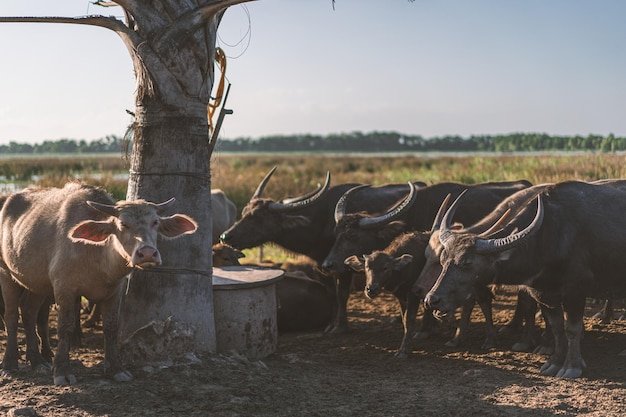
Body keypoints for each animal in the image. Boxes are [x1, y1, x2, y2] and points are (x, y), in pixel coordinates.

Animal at [0, 182, 196, 384]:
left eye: (155, 222)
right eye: (123, 224)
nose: (147, 253)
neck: (97, 258)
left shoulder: (115, 292)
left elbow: (110, 327)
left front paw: (115, 369)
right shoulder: (64, 288)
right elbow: (65, 326)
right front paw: (62, 370)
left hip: (36, 282)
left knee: (29, 312)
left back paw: (37, 361)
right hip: (6, 273)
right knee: (12, 316)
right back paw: (10, 364)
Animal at [218, 166, 424, 332]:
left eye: (259, 217)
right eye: (244, 212)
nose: (226, 236)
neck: (319, 219)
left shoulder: (343, 265)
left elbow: (342, 294)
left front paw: (340, 327)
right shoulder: (321, 266)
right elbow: (332, 293)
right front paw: (331, 323)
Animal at [422, 179, 626, 376]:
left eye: (467, 262)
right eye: (443, 259)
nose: (432, 299)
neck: (550, 236)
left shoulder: (574, 291)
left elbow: (572, 329)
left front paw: (571, 366)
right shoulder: (543, 293)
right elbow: (557, 327)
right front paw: (553, 362)